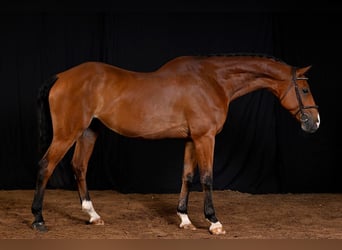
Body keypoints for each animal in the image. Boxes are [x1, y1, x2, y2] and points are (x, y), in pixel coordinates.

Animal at [30, 54, 320, 234]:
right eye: (305, 90)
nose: (315, 122)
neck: (212, 81)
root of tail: (62, 76)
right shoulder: (205, 137)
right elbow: (207, 177)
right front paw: (213, 221)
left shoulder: (191, 139)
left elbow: (187, 176)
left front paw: (184, 218)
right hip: (67, 133)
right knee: (46, 166)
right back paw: (38, 219)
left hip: (89, 132)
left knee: (79, 167)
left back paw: (93, 215)